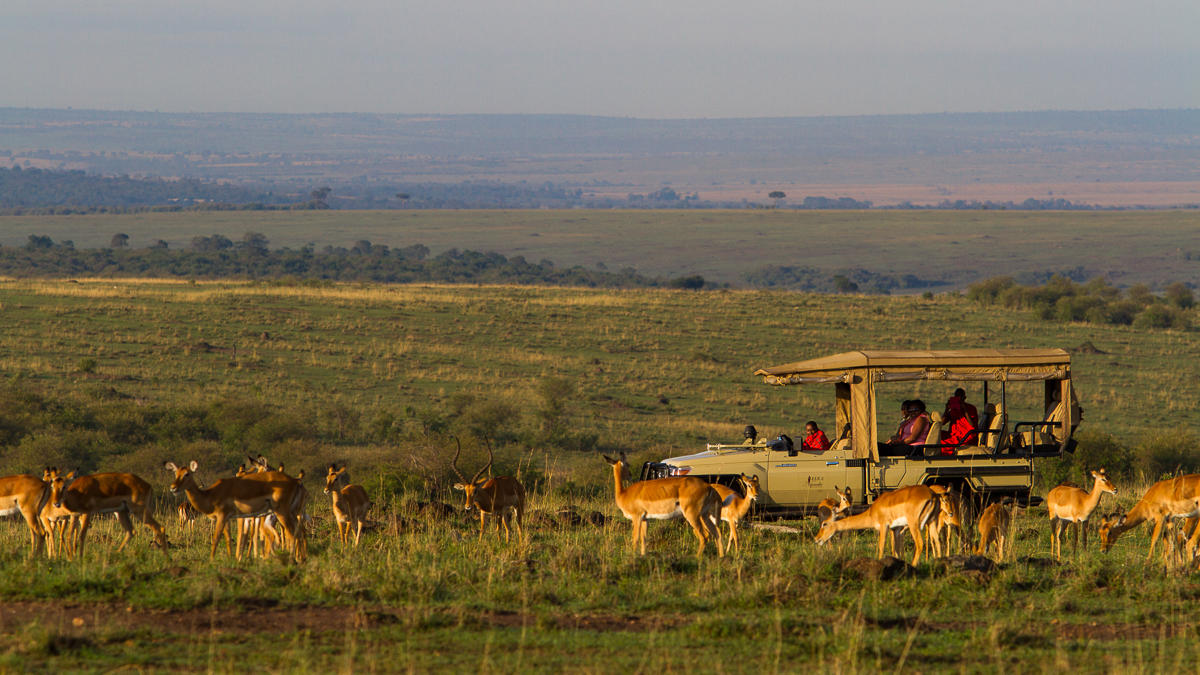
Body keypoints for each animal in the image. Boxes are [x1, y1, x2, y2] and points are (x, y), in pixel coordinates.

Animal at [164, 461, 305, 561]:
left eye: (187, 474)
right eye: (175, 473)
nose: (173, 487)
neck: (211, 494)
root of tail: (295, 481)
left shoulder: (222, 516)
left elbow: (216, 538)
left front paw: (211, 561)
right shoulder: (227, 518)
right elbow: (228, 539)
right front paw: (231, 559)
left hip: (282, 512)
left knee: (292, 533)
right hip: (290, 513)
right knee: (299, 532)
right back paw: (300, 559)